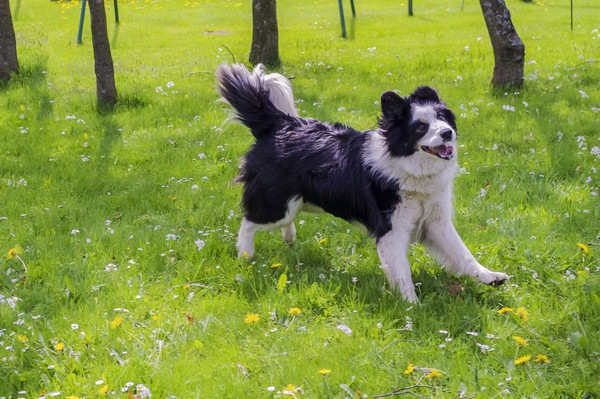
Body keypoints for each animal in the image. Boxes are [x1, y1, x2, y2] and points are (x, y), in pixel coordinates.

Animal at [216, 64, 506, 304]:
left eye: (443, 119)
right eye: (420, 127)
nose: (448, 133)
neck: (407, 167)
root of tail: (280, 124)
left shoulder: (435, 222)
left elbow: (462, 253)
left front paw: (489, 277)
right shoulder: (391, 229)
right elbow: (402, 271)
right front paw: (412, 307)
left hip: (296, 203)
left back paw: (288, 238)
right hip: (277, 204)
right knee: (249, 222)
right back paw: (246, 256)